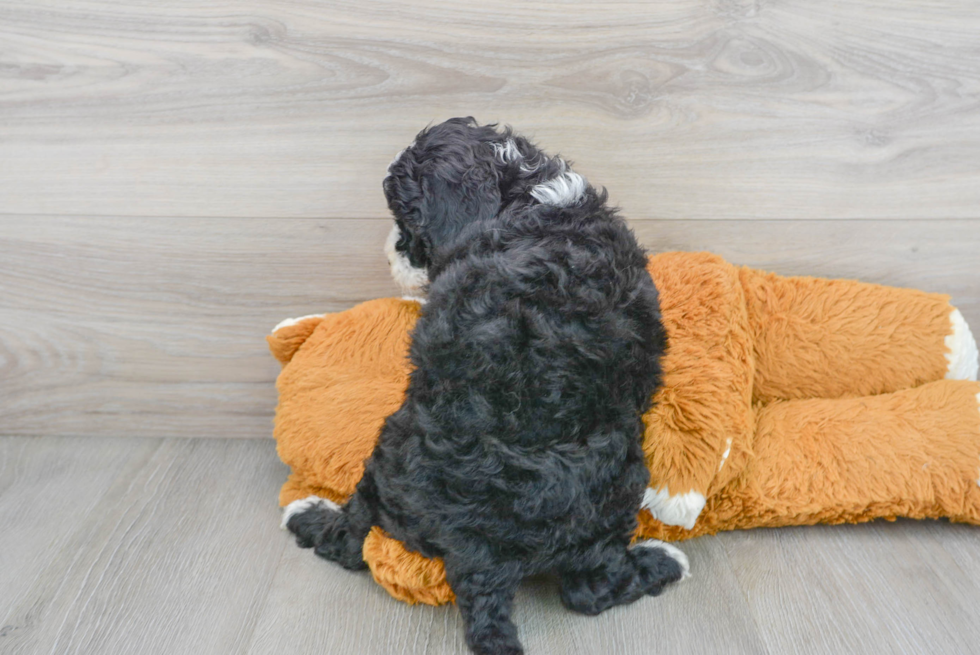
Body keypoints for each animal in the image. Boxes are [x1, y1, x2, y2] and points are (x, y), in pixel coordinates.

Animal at [288, 119, 688, 655]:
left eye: (407, 219)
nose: (391, 251)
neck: (532, 200)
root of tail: (482, 557)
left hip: (387, 453)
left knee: (352, 533)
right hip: (619, 481)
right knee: (591, 587)